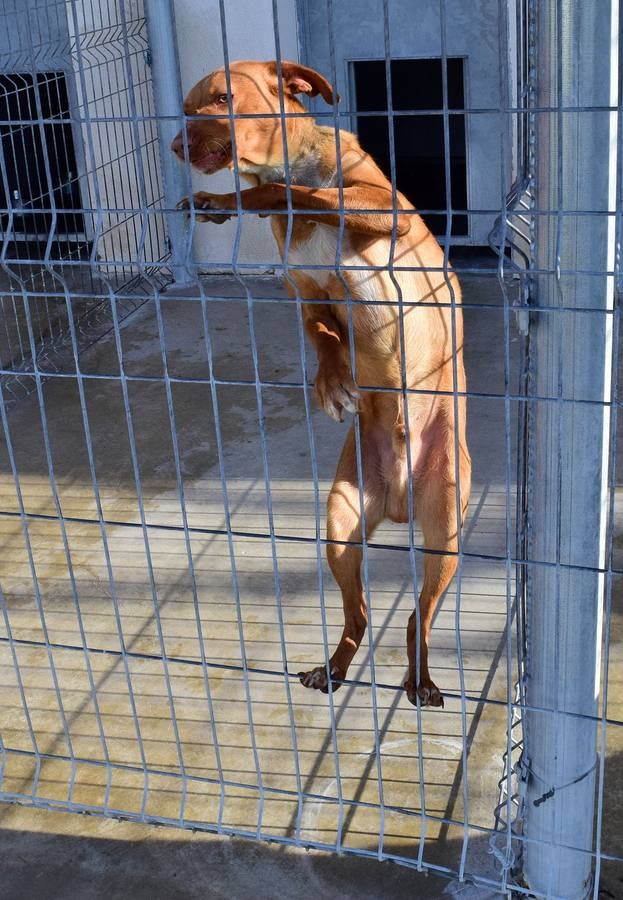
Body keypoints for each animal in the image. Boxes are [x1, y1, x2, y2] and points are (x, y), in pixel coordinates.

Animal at [173, 59, 470, 708]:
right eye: (183, 109)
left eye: (223, 99)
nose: (178, 145)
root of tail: (400, 502)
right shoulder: (308, 293)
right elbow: (321, 332)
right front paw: (332, 382)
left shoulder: (380, 206)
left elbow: (297, 194)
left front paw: (243, 198)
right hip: (340, 526)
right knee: (359, 614)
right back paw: (333, 669)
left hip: (444, 536)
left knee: (417, 618)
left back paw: (420, 678)